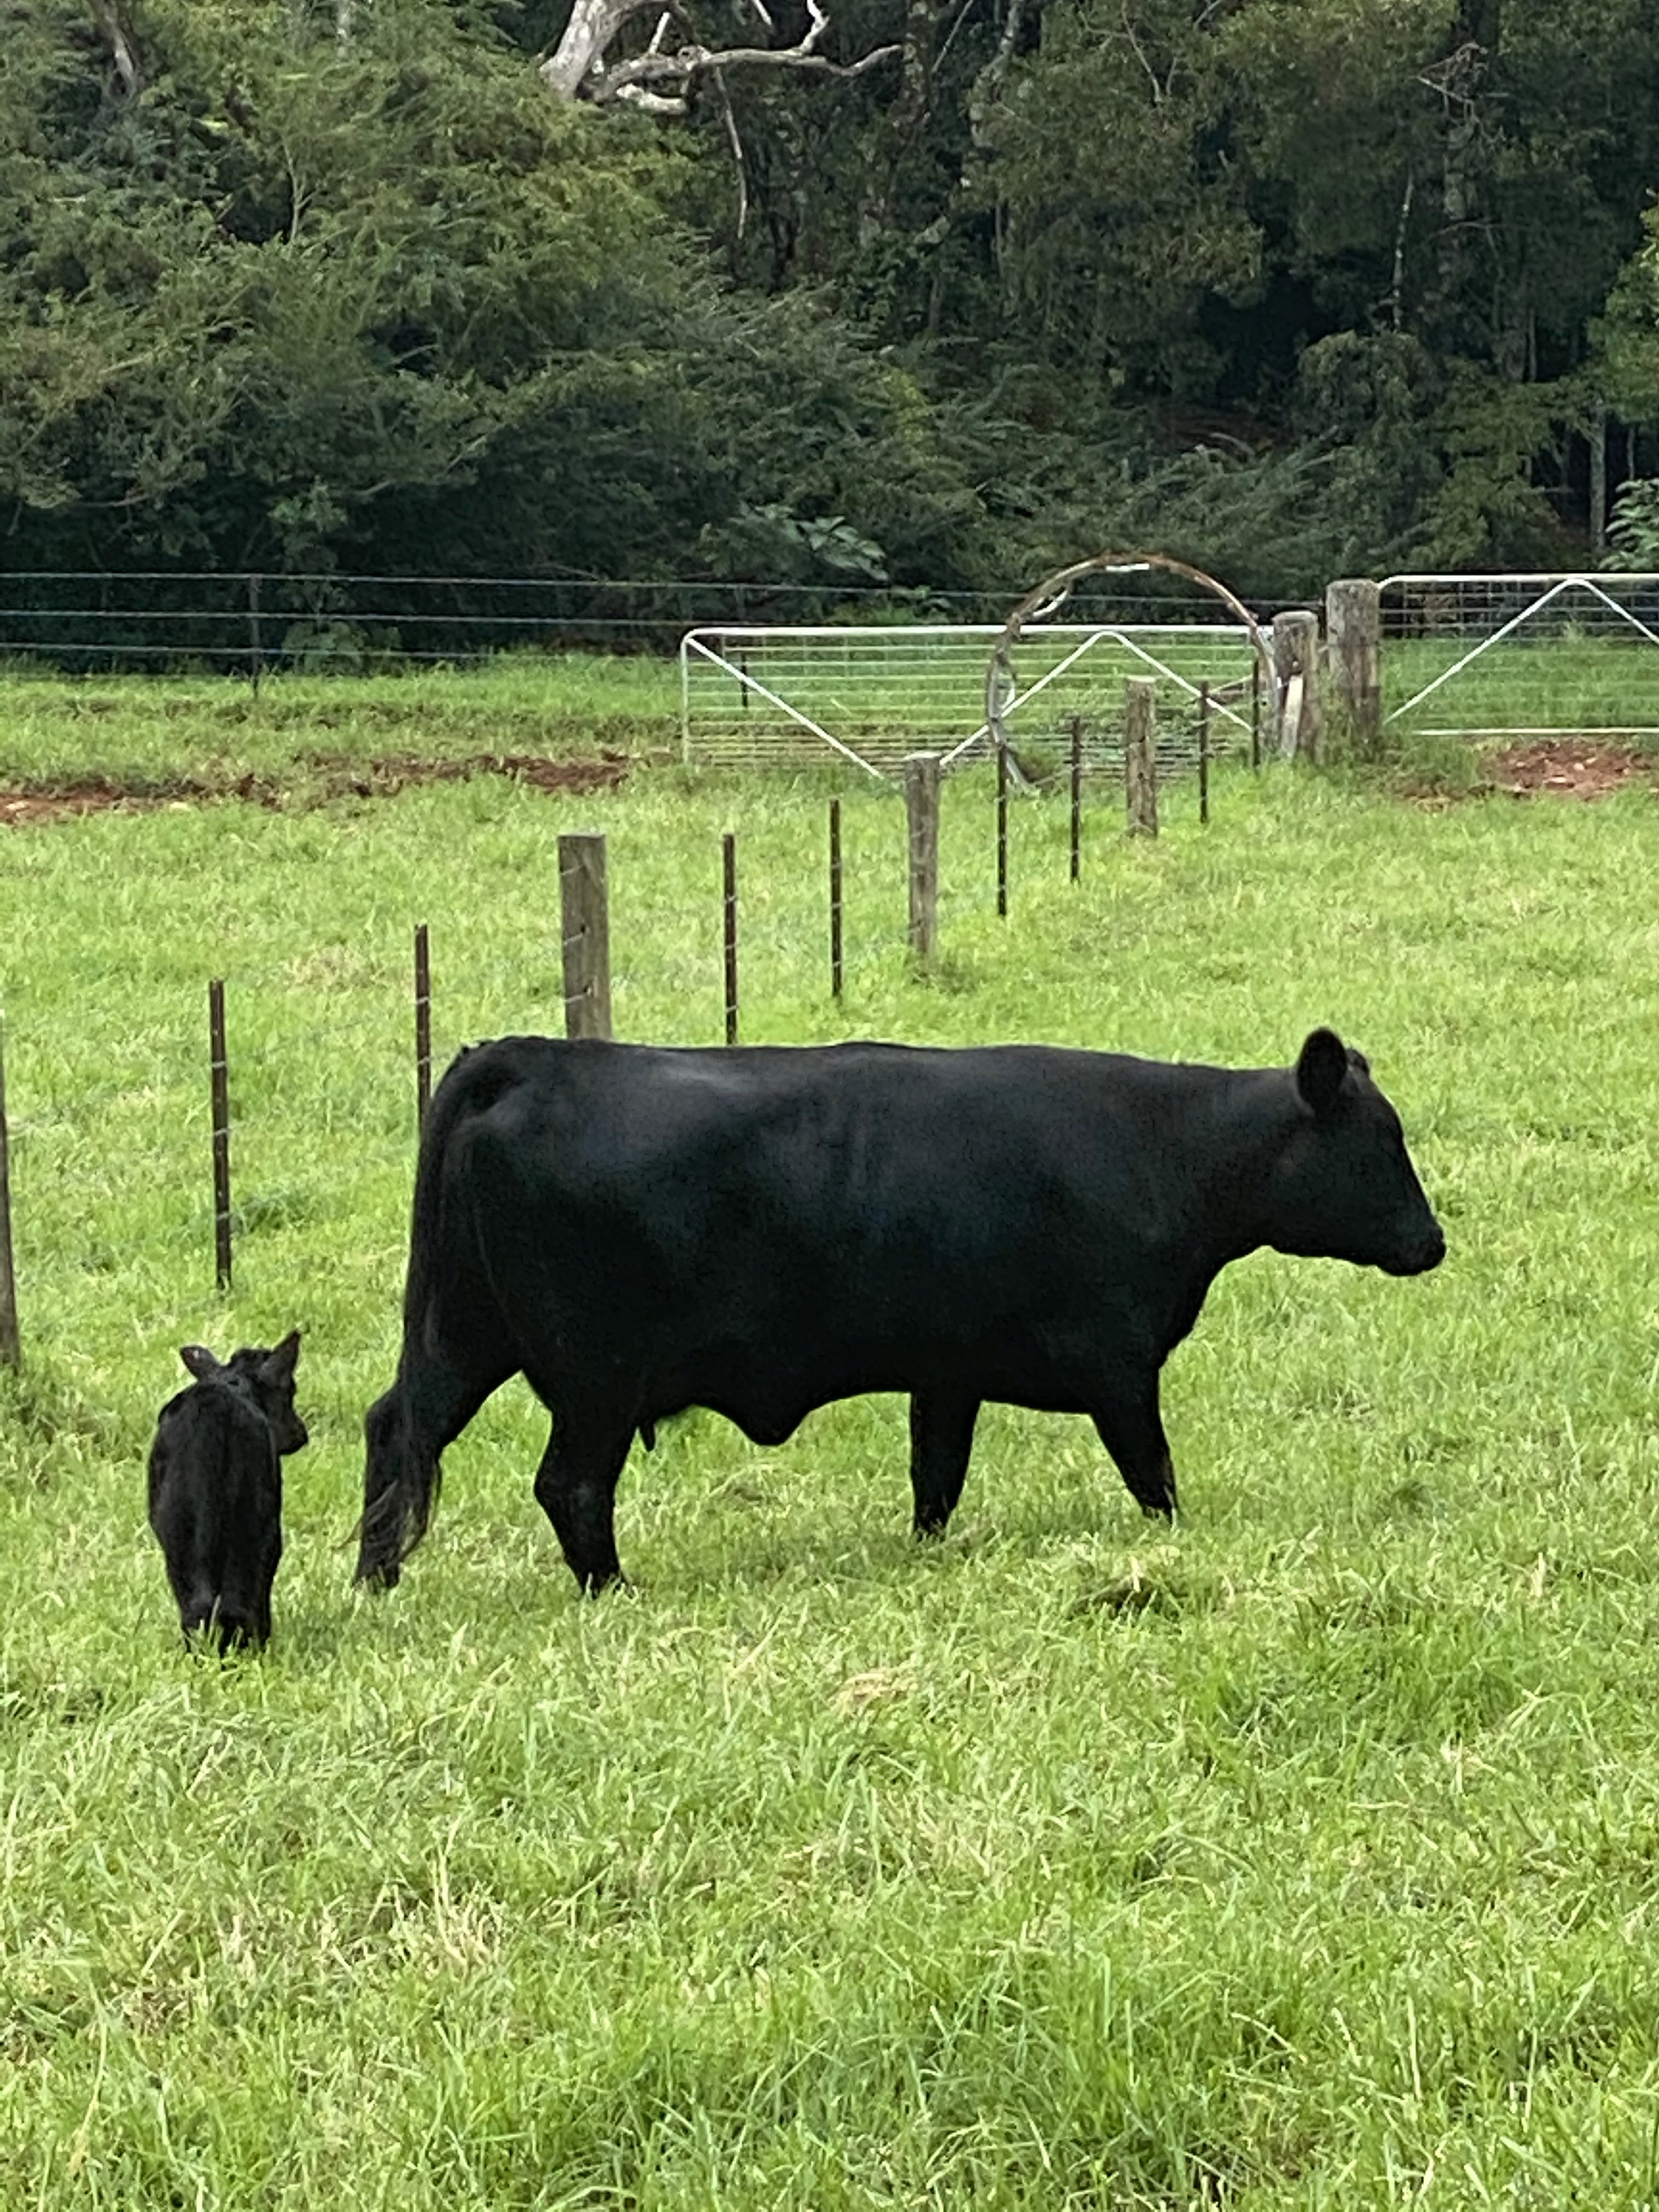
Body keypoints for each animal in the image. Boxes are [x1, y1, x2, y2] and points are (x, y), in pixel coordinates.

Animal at [354, 1027, 1443, 1599]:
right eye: (1379, 1142)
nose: (1431, 1242)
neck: (1161, 1150)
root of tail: (535, 1055)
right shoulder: (1118, 1368)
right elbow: (1154, 1476)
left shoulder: (946, 1373)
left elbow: (936, 1480)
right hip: (596, 1377)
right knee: (570, 1484)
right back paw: (612, 1590)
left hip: (464, 1334)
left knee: (398, 1427)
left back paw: (377, 1579)